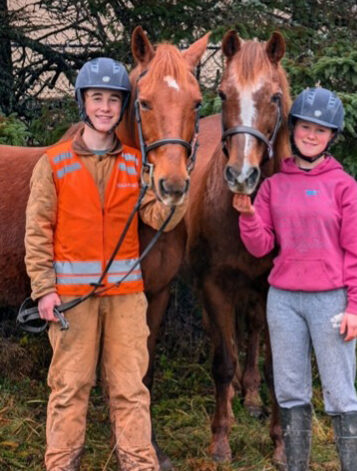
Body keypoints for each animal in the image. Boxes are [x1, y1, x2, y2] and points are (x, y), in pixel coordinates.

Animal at [0, 24, 209, 468]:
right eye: (144, 102)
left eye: (197, 103)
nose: (172, 186)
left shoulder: (155, 295)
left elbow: (140, 371)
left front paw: (144, 444)